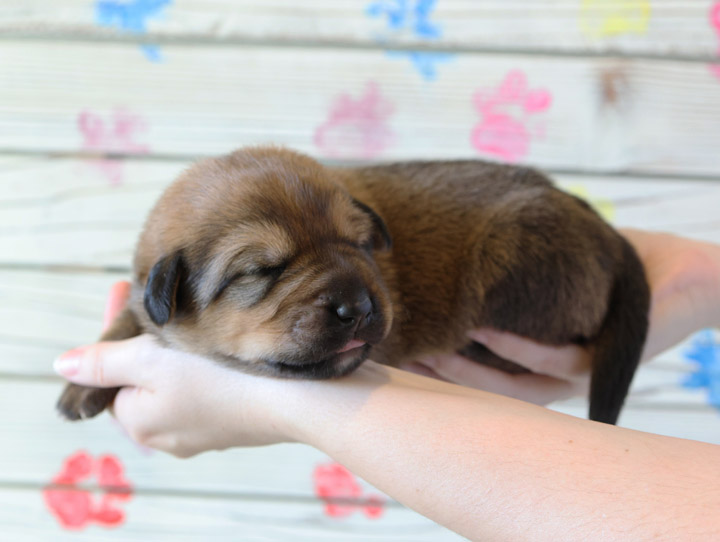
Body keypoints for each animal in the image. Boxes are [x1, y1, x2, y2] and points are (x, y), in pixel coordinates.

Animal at [59, 147, 648, 428]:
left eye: (360, 243)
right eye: (260, 270)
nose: (361, 306)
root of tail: (607, 232)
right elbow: (132, 315)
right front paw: (81, 384)